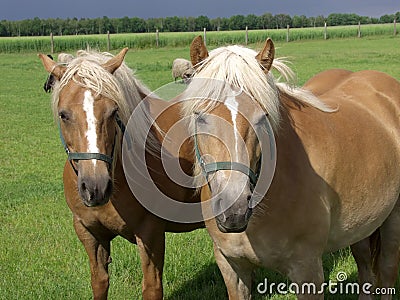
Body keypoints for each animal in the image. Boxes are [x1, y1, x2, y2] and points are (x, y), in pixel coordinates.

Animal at [38, 48, 202, 298]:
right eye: (63, 114)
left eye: (113, 111)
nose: (95, 187)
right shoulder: (89, 234)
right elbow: (99, 282)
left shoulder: (151, 234)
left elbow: (152, 288)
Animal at [184, 36, 400, 298]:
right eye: (200, 116)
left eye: (262, 118)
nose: (234, 210)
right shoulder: (232, 267)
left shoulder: (307, 271)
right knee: (366, 268)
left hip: (393, 219)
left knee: (387, 272)